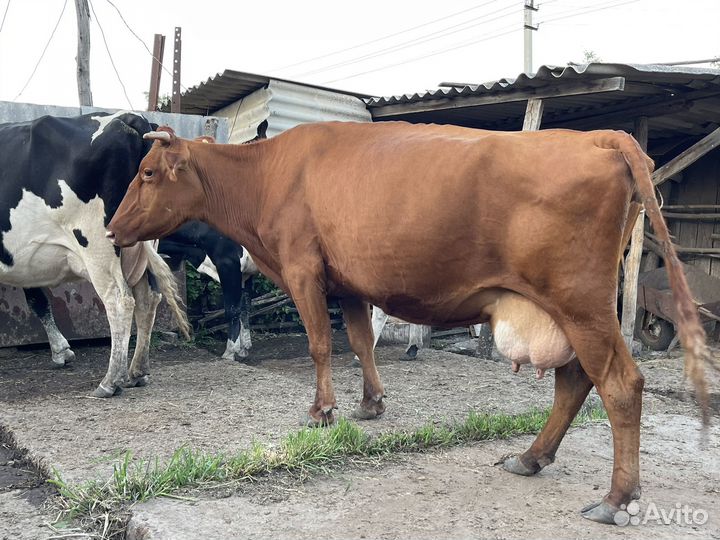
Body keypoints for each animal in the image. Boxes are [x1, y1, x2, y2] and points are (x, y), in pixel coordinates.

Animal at [0, 111, 189, 398]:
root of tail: (130, 117)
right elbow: (36, 299)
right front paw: (61, 352)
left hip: (97, 246)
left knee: (120, 301)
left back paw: (110, 381)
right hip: (141, 249)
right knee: (148, 299)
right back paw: (136, 372)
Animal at [106, 121, 716, 523]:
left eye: (148, 173)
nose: (110, 229)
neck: (268, 175)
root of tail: (599, 136)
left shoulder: (303, 269)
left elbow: (321, 345)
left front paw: (322, 411)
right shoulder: (346, 282)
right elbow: (359, 342)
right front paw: (370, 403)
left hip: (580, 302)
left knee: (619, 384)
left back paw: (616, 499)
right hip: (569, 310)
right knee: (574, 380)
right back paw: (529, 458)